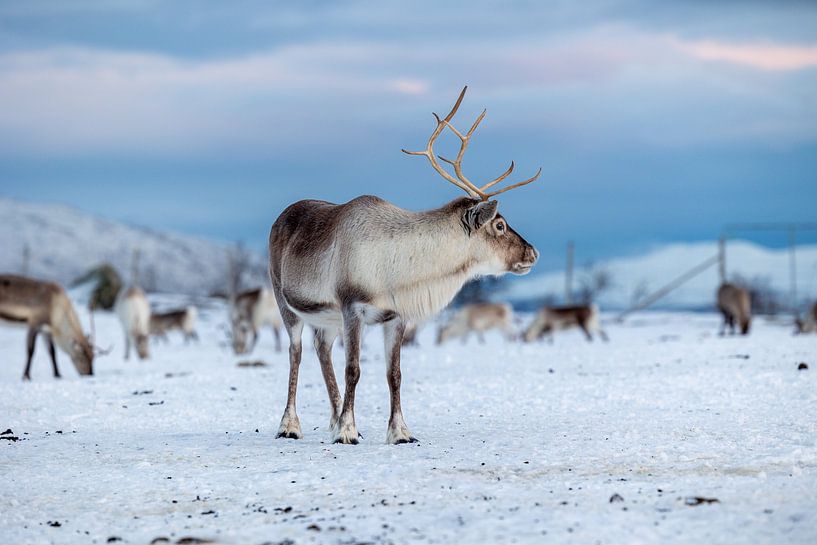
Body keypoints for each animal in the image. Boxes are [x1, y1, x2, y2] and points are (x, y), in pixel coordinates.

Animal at [268, 86, 540, 444]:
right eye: (499, 225)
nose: (532, 252)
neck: (400, 267)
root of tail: (280, 216)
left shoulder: (396, 317)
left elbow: (394, 374)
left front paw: (399, 432)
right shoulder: (352, 307)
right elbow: (354, 369)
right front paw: (347, 432)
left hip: (326, 317)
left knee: (322, 350)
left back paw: (333, 418)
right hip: (286, 303)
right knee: (296, 352)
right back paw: (290, 425)